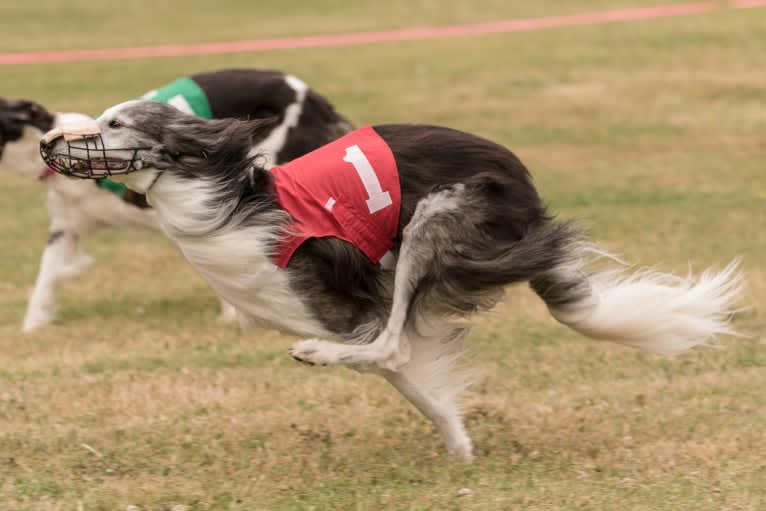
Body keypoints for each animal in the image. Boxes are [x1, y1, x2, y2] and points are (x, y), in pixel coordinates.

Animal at [40, 101, 744, 460]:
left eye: (113, 125)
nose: (46, 140)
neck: (226, 202)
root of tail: (527, 195)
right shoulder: (346, 313)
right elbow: (417, 381)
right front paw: (460, 446)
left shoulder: (347, 308)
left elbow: (391, 354)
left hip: (434, 221)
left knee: (389, 343)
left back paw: (313, 355)